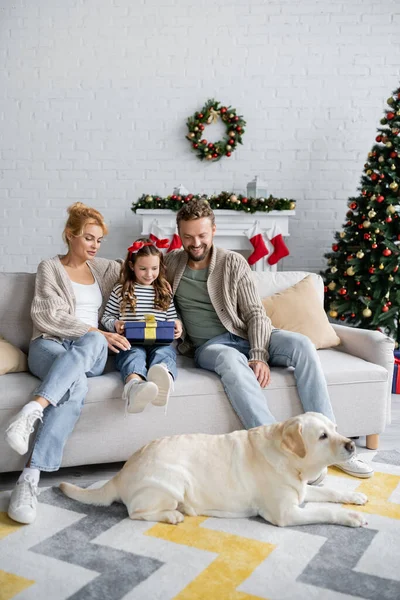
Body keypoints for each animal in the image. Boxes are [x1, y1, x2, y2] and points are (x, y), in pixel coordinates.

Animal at [59, 412, 368, 528]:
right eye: (323, 437)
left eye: (336, 429)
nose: (352, 445)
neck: (291, 460)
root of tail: (121, 472)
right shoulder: (286, 513)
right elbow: (324, 510)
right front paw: (351, 517)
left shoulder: (301, 491)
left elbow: (329, 491)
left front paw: (355, 497)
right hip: (174, 480)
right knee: (136, 512)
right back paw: (172, 515)